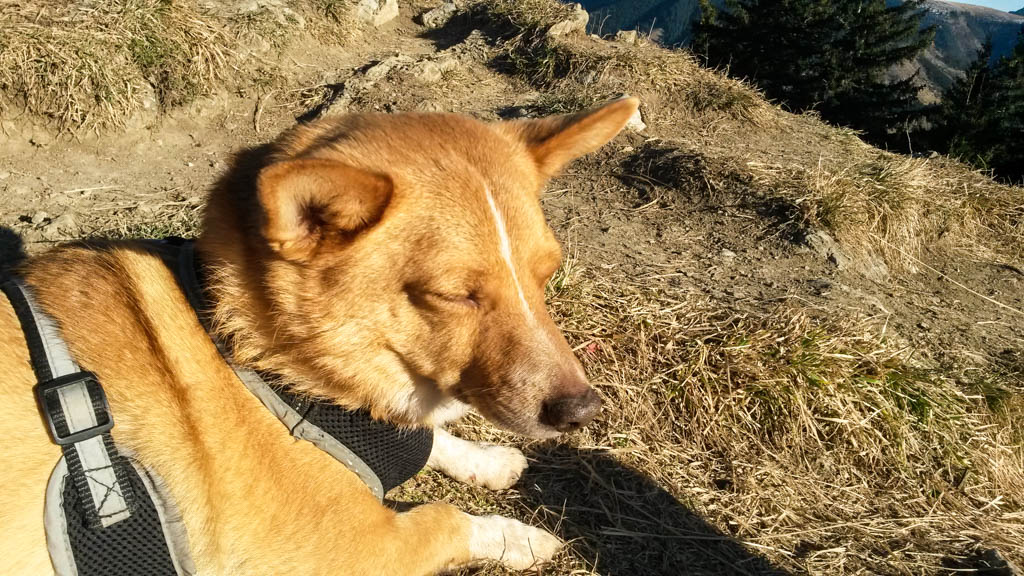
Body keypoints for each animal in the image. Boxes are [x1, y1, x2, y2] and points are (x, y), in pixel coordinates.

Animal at [0, 96, 638, 569]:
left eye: (547, 274)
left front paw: (485, 461)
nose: (583, 411)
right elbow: (444, 518)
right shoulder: (356, 552)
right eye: (455, 295)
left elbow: (432, 439)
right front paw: (517, 538)